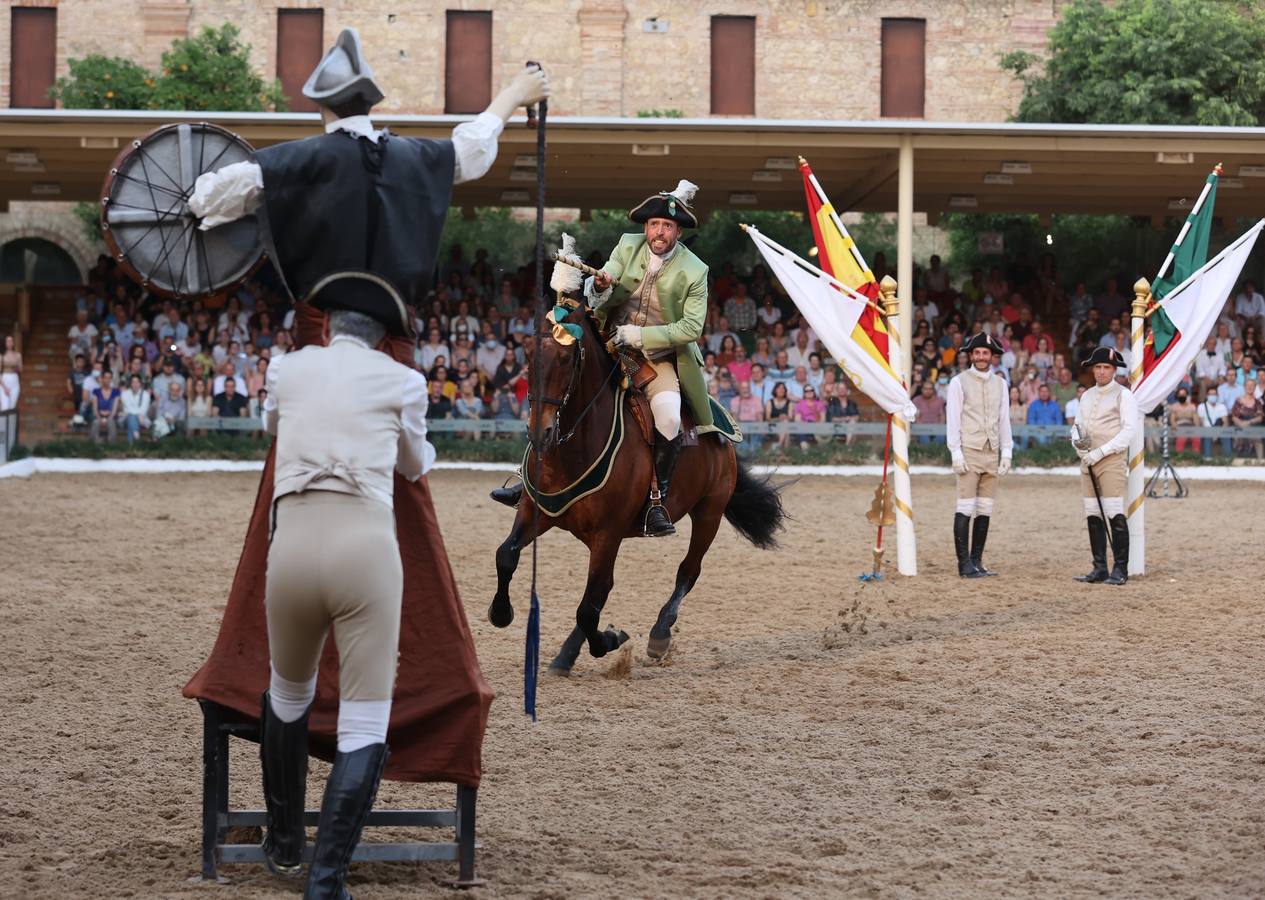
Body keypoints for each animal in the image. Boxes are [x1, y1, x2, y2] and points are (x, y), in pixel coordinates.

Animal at [483, 298, 779, 673]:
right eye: (527, 353)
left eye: (566, 358)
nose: (540, 434)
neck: (573, 448)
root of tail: (720, 429)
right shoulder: (535, 511)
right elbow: (506, 555)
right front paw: (500, 613)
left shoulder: (607, 534)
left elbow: (588, 606)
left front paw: (611, 640)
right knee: (601, 592)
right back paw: (567, 654)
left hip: (708, 513)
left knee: (686, 571)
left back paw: (659, 634)